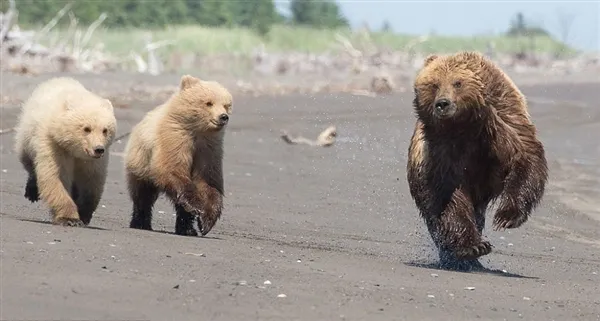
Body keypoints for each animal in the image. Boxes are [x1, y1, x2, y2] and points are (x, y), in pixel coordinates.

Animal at [123, 74, 232, 235]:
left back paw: (187, 229)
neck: (197, 132)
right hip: (140, 163)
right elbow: (172, 169)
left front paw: (206, 220)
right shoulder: (175, 139)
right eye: (209, 103)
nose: (223, 116)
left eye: (226, 105)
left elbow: (209, 181)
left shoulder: (209, 149)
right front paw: (197, 205)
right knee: (143, 196)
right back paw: (140, 222)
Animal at [408, 50, 548, 270]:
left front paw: (505, 217)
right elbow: (448, 197)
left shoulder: (504, 124)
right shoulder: (439, 153)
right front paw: (473, 247)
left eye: (457, 82)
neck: (464, 126)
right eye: (434, 84)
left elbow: (525, 159)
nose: (442, 104)